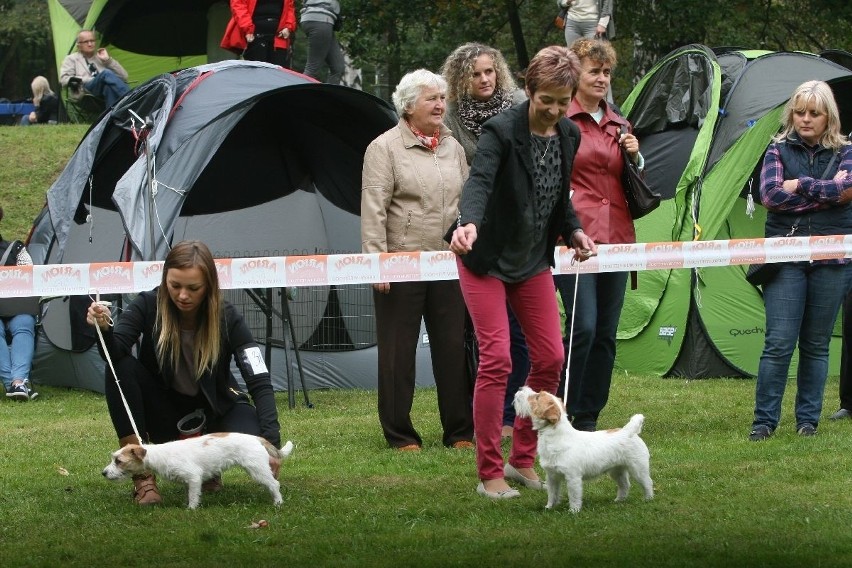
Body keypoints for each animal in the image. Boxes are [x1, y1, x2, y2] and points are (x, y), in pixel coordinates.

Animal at [102, 432, 294, 508]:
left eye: (118, 461)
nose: (103, 473)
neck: (156, 454)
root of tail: (256, 438)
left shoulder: (194, 477)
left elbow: (193, 496)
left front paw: (191, 509)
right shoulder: (188, 481)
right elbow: (190, 493)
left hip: (257, 469)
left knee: (274, 484)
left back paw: (278, 502)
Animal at [512, 386, 652, 516]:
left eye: (537, 397)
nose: (520, 388)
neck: (556, 436)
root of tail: (629, 431)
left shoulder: (573, 477)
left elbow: (574, 496)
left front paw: (573, 511)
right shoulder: (552, 476)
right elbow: (552, 494)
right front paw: (549, 507)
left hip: (638, 468)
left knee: (647, 483)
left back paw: (648, 499)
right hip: (617, 470)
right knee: (625, 485)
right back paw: (619, 500)